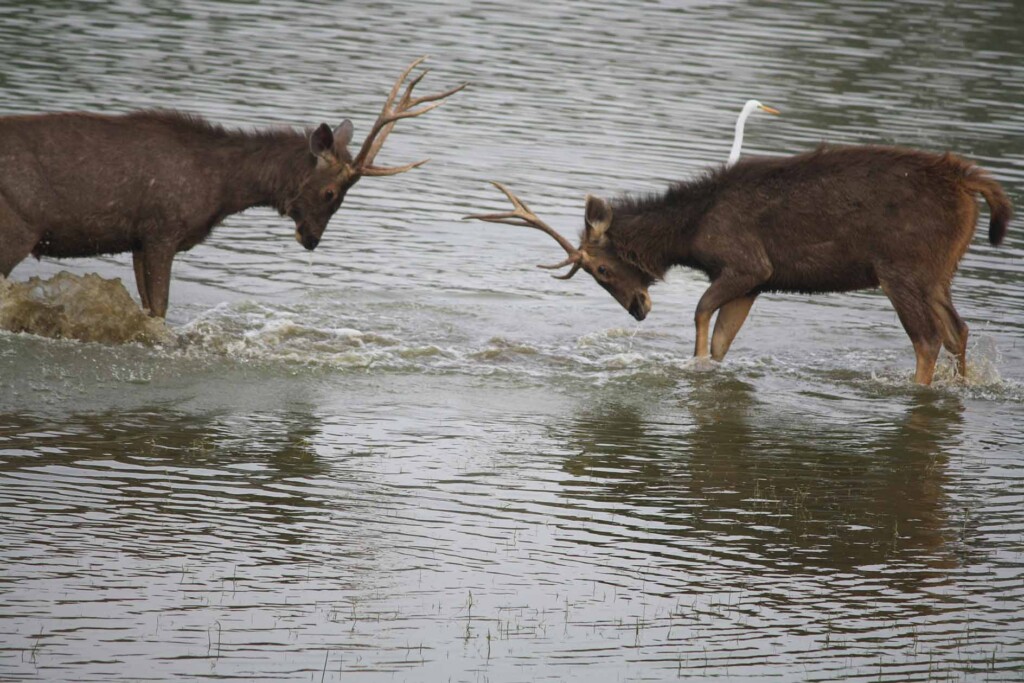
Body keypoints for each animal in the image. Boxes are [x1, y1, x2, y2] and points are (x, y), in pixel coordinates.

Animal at [0, 56, 464, 317]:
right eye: (331, 193)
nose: (311, 239)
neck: (223, 190)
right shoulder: (162, 229)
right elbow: (159, 311)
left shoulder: (138, 238)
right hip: (15, 227)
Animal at [468, 145, 1011, 385]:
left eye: (601, 271)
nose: (639, 308)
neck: (689, 233)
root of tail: (969, 182)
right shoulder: (752, 284)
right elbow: (724, 337)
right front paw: (708, 368)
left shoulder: (747, 265)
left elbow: (700, 314)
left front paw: (692, 364)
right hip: (938, 271)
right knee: (958, 330)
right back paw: (963, 385)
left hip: (900, 268)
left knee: (928, 338)